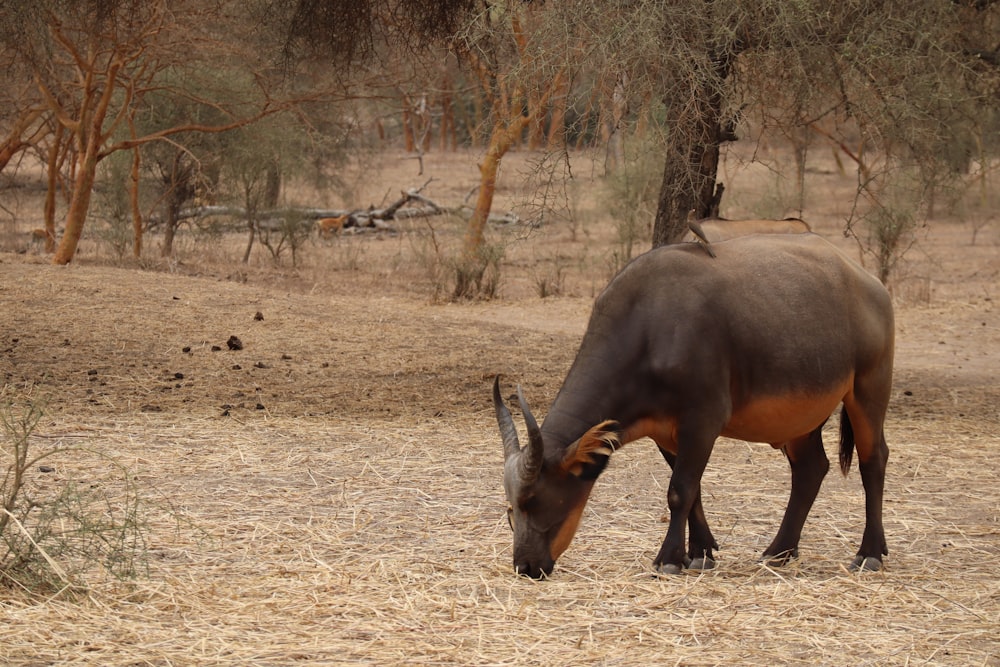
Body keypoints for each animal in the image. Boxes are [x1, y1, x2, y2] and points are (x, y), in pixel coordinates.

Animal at [496, 235, 896, 580]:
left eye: (534, 500)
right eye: (510, 508)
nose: (526, 565)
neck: (651, 325)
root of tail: (870, 284)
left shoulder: (702, 422)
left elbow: (680, 491)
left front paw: (669, 558)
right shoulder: (666, 433)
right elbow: (694, 491)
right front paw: (700, 553)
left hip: (868, 391)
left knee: (873, 460)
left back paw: (869, 553)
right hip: (801, 419)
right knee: (811, 469)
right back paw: (779, 551)